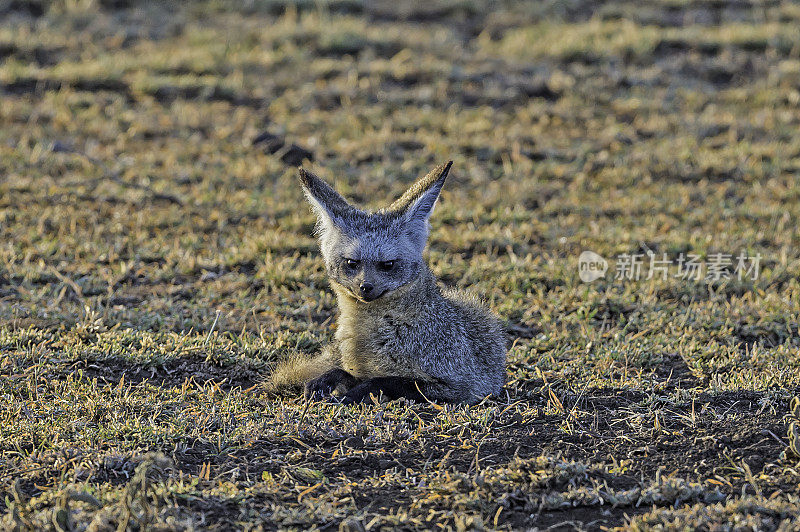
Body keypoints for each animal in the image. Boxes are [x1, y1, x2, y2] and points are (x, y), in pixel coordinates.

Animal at [268, 161, 506, 404]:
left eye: (388, 264)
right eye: (352, 263)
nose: (365, 287)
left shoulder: (458, 387)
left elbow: (387, 381)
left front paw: (352, 395)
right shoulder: (357, 367)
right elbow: (344, 372)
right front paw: (327, 381)